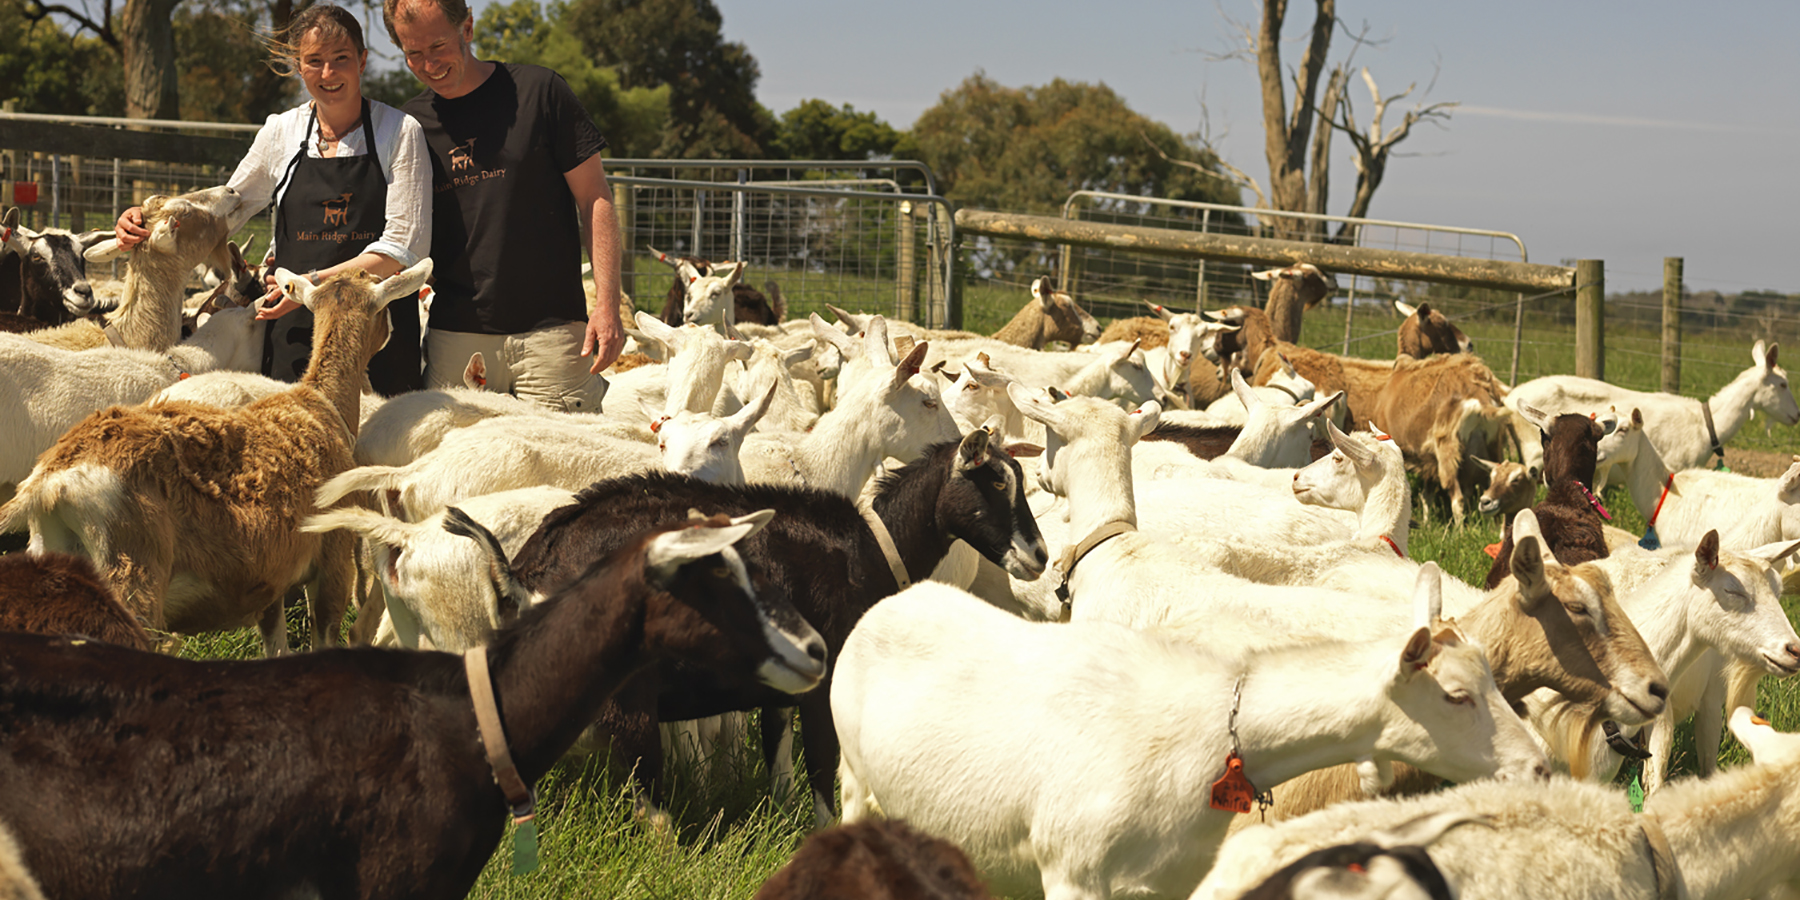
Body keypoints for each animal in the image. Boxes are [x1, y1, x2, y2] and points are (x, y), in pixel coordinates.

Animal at [831, 576, 1548, 900]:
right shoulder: (1071, 870)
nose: (1540, 766)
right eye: (1456, 695)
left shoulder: (1174, 879)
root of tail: (896, 598)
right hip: (853, 780)